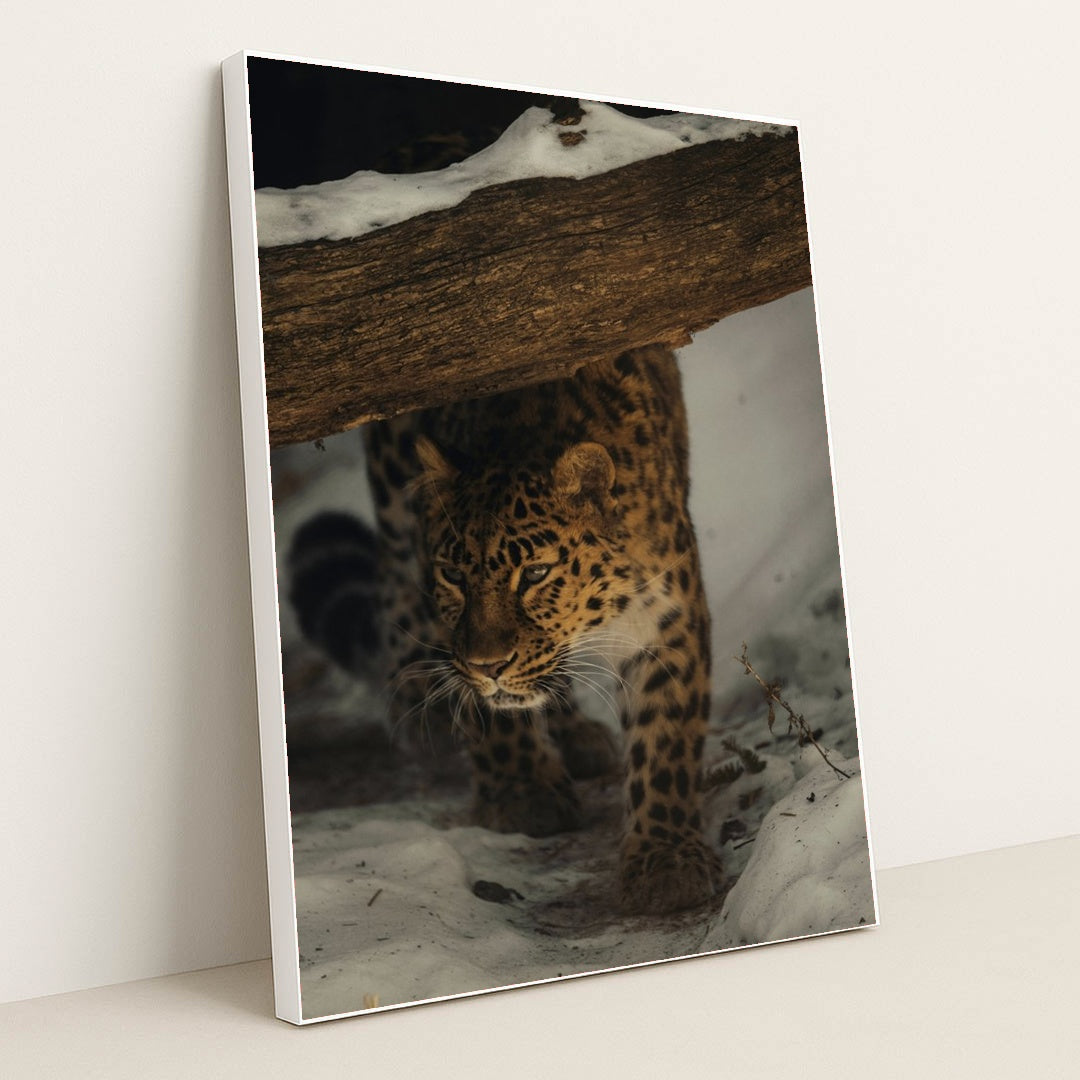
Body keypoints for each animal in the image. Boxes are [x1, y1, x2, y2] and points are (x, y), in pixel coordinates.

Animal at [335, 344, 720, 915]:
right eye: (454, 576)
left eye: (535, 574)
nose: (489, 665)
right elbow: (487, 713)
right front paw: (523, 793)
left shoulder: (666, 615)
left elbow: (666, 738)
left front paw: (666, 860)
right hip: (392, 479)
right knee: (391, 564)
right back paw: (416, 697)